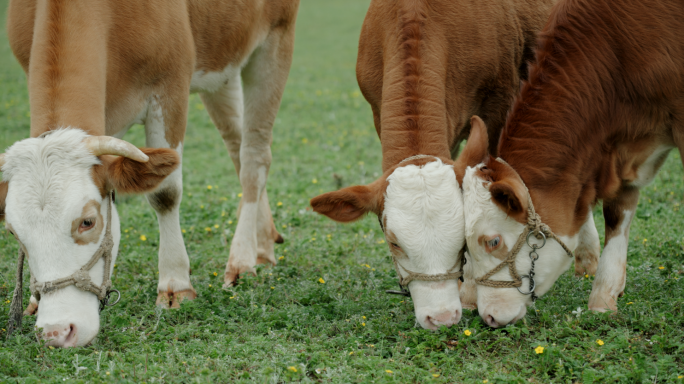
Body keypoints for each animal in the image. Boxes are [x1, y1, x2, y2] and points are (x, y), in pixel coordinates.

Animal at [1, 0, 300, 348]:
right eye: (13, 233)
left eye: (88, 222)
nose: (58, 332)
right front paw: (34, 302)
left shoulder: (170, 89)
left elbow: (165, 194)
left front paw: (175, 284)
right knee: (235, 142)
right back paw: (263, 244)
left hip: (276, 40)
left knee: (254, 156)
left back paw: (242, 259)